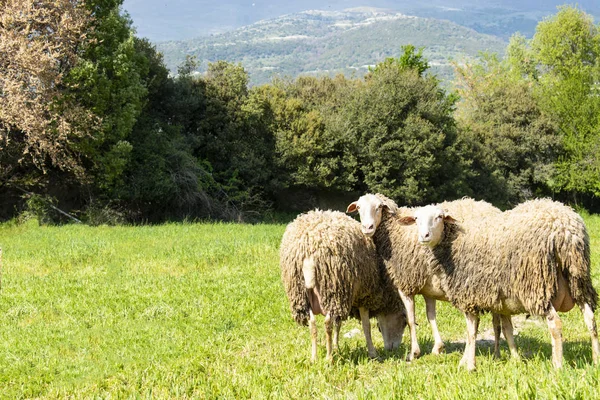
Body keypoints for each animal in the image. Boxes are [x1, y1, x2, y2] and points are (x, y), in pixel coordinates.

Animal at [278, 209, 406, 362]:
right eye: (404, 322)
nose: (393, 349)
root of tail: (310, 249)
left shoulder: (347, 299)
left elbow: (338, 324)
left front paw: (336, 347)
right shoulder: (363, 296)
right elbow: (366, 326)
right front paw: (372, 352)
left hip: (302, 294)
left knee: (313, 323)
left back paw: (314, 358)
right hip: (333, 289)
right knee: (327, 323)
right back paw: (328, 358)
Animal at [344, 195, 508, 360]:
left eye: (378, 207)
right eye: (358, 207)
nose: (367, 227)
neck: (395, 231)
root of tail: (493, 209)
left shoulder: (405, 285)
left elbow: (411, 320)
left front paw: (413, 353)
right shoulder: (429, 290)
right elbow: (431, 316)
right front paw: (438, 347)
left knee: (492, 322)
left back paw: (491, 354)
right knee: (495, 321)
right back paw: (496, 353)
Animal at [404, 198, 600, 370]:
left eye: (439, 217)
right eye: (416, 218)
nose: (424, 236)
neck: (452, 243)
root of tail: (565, 229)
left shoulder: (469, 296)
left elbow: (471, 332)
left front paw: (469, 365)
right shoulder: (498, 302)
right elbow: (504, 329)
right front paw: (511, 359)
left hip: (537, 287)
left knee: (556, 324)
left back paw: (558, 365)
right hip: (578, 280)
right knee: (590, 319)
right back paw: (596, 360)